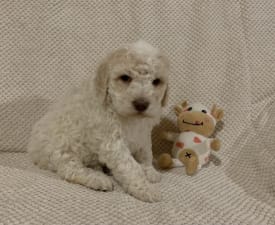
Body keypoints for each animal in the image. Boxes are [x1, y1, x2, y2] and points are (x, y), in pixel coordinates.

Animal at [28, 40, 170, 202]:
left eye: (156, 81)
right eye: (125, 78)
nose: (141, 104)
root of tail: (33, 150)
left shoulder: (143, 134)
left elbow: (146, 153)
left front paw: (150, 171)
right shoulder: (113, 143)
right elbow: (131, 167)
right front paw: (145, 188)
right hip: (61, 149)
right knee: (70, 169)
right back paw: (97, 178)